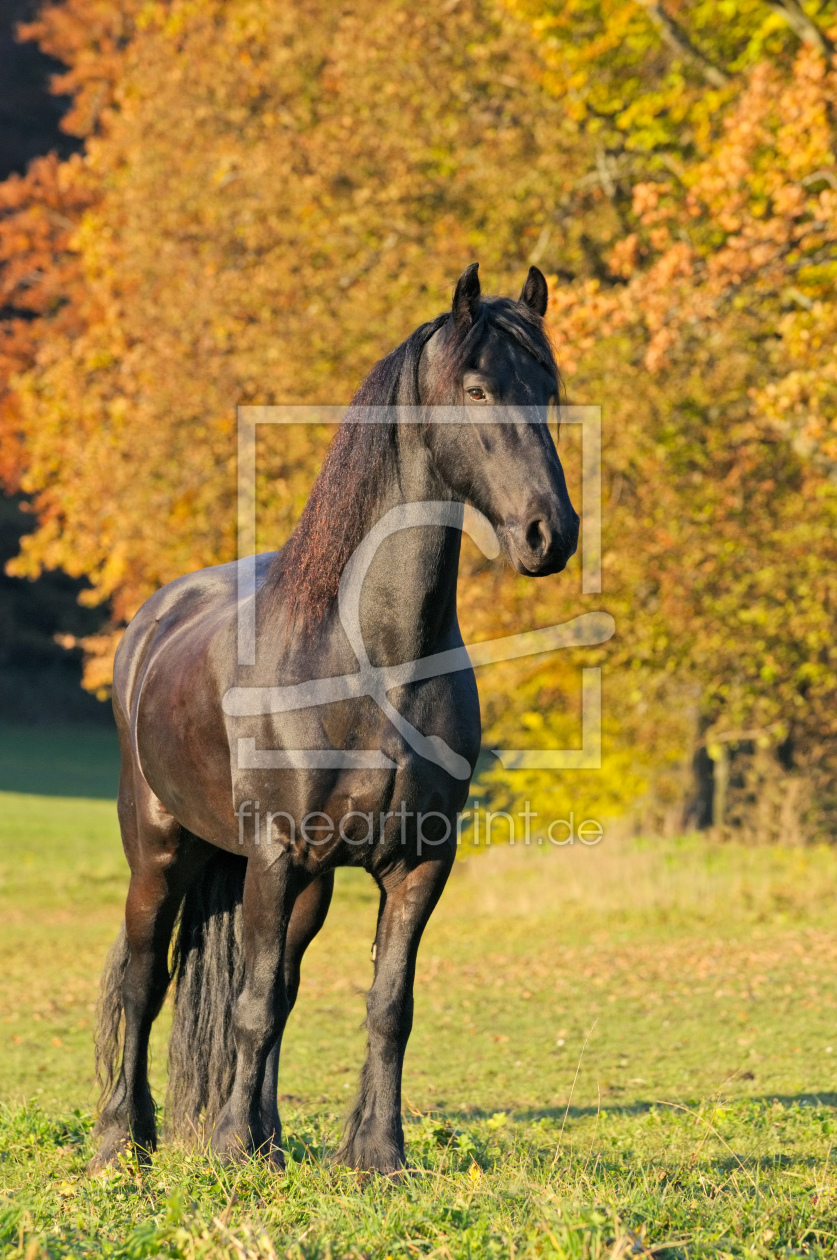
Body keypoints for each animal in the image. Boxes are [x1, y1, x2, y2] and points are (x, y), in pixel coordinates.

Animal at [91, 260, 574, 1174]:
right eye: (476, 389)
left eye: (551, 392)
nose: (549, 534)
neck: (371, 660)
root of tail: (156, 619)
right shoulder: (275, 855)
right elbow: (245, 1005)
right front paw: (229, 1151)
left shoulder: (418, 864)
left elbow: (385, 1006)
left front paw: (376, 1153)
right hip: (160, 854)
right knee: (142, 981)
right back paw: (120, 1144)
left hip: (305, 885)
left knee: (279, 986)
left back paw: (268, 1137)